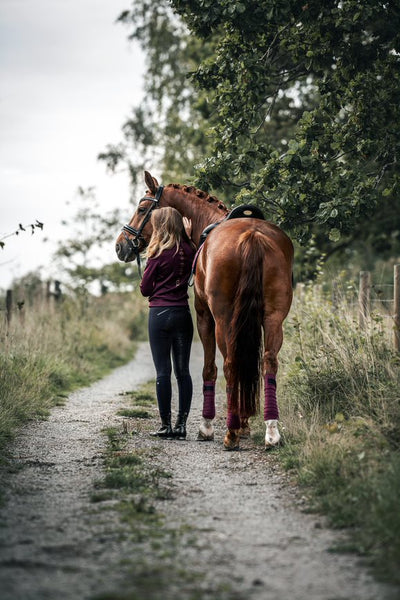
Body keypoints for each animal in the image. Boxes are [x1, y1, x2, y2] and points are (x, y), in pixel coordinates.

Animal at [116, 171, 294, 448]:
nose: (121, 245)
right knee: (269, 363)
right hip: (274, 318)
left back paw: (230, 433)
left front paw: (208, 426)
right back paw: (271, 431)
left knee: (230, 364)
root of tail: (252, 236)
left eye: (142, 208)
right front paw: (245, 424)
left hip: (223, 319)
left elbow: (209, 368)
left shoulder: (204, 318)